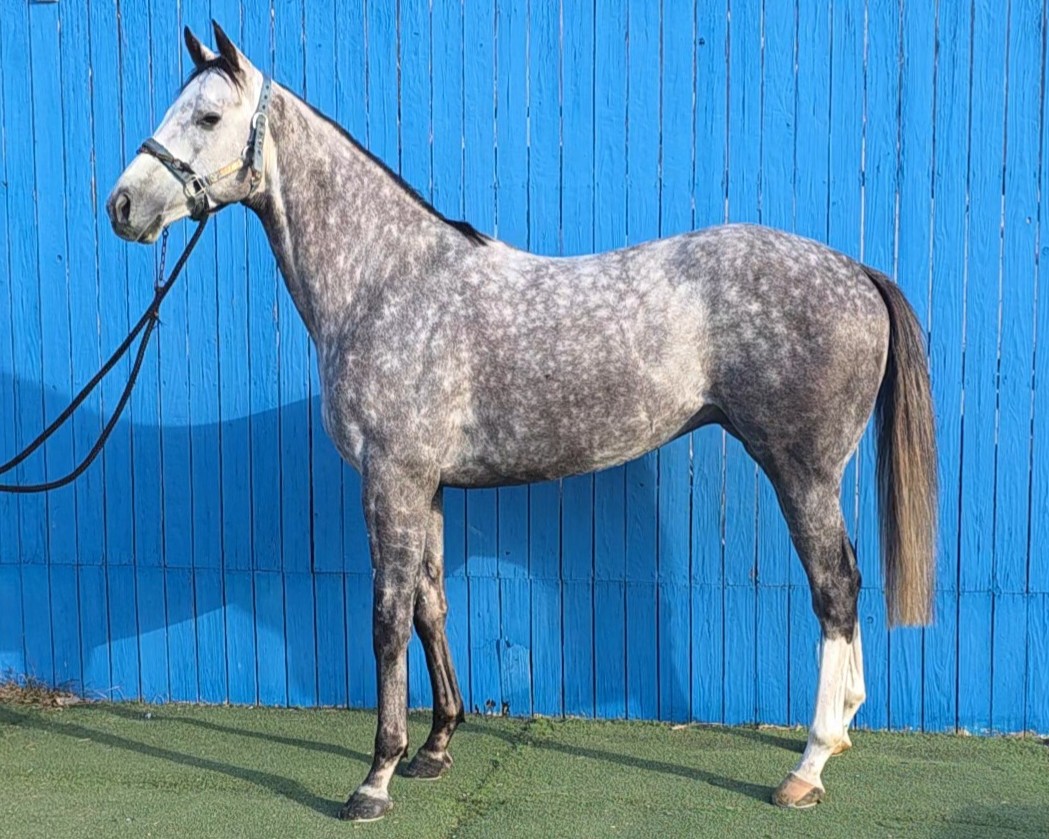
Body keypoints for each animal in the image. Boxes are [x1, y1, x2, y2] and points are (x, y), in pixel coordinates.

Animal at [107, 22, 937, 822]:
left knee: (834, 586)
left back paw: (808, 764)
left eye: (207, 116)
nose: (121, 206)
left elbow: (386, 617)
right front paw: (435, 747)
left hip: (802, 470)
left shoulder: (391, 478)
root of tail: (856, 272)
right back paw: (844, 726)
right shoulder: (427, 485)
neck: (387, 282)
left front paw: (375, 778)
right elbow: (430, 605)